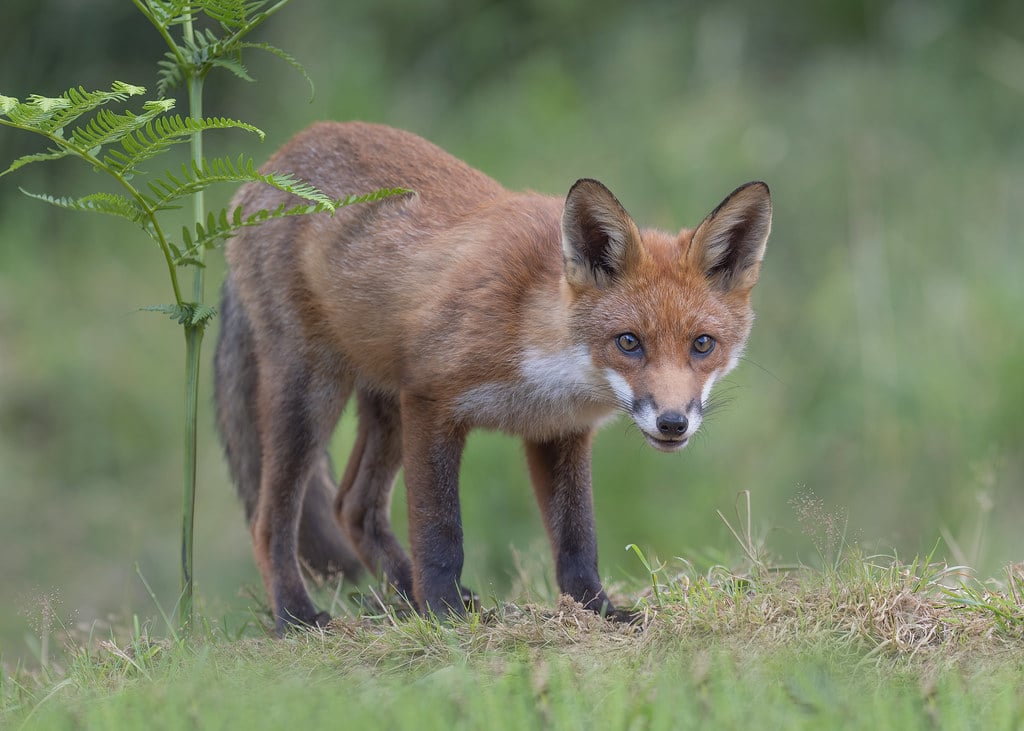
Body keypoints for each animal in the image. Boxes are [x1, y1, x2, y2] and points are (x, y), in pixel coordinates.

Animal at [213, 121, 772, 633]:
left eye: (702, 345)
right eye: (629, 342)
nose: (673, 423)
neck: (538, 358)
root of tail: (270, 165)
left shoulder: (559, 432)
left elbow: (577, 540)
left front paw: (600, 611)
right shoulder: (431, 402)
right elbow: (441, 532)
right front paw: (444, 614)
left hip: (384, 404)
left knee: (352, 506)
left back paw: (404, 596)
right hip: (313, 393)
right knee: (271, 521)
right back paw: (298, 615)